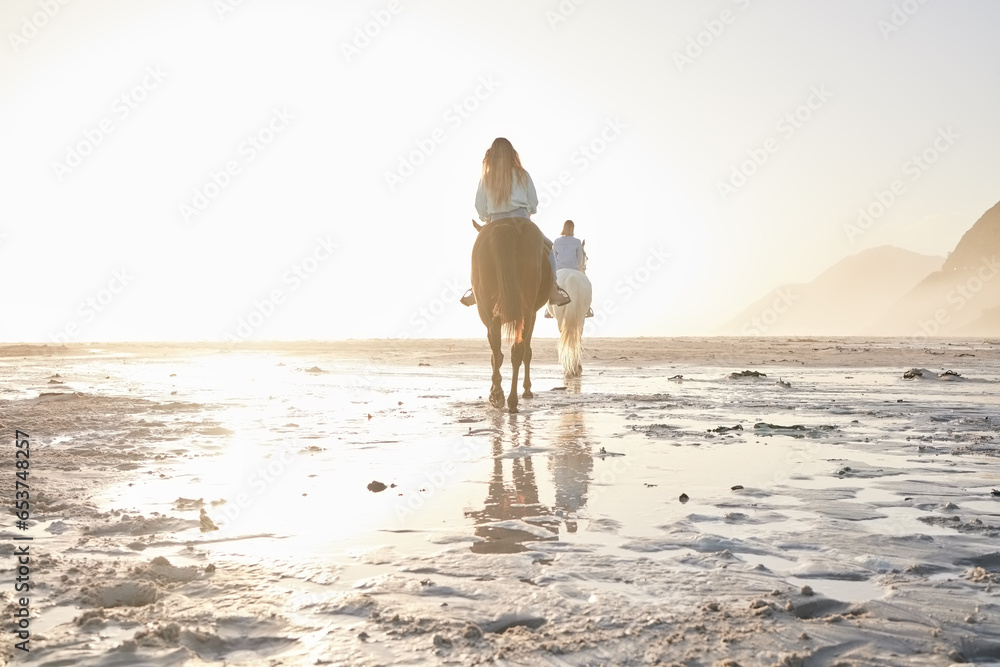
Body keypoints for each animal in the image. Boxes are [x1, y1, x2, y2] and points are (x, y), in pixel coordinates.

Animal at [470, 219, 552, 412]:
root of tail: (506, 224)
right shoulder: (532, 314)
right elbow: (527, 352)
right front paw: (527, 388)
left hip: (489, 312)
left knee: (498, 348)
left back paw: (498, 395)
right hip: (525, 312)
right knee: (517, 351)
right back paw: (511, 399)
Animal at [552, 243, 588, 378]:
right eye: (586, 256)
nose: (585, 267)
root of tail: (571, 278)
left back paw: (571, 368)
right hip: (581, 315)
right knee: (576, 335)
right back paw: (574, 368)